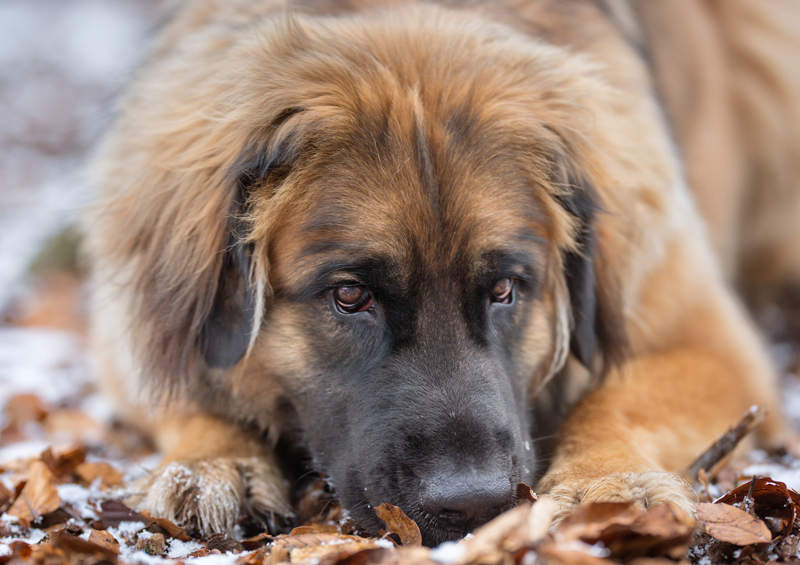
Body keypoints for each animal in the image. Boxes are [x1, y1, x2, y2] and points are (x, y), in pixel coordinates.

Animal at [83, 0, 800, 548]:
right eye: (350, 295)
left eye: (505, 289)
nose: (472, 503)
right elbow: (180, 390)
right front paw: (212, 464)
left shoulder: (705, 339)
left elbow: (618, 397)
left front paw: (609, 486)